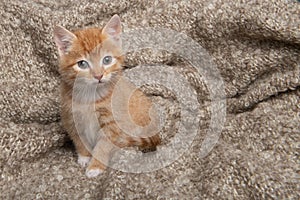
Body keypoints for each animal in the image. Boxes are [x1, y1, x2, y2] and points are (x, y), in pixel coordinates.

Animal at [54, 14, 162, 177]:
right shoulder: (71, 119)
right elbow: (79, 140)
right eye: (82, 64)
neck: (90, 98)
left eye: (107, 60)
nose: (99, 75)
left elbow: (103, 146)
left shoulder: (112, 125)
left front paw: (95, 166)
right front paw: (84, 156)